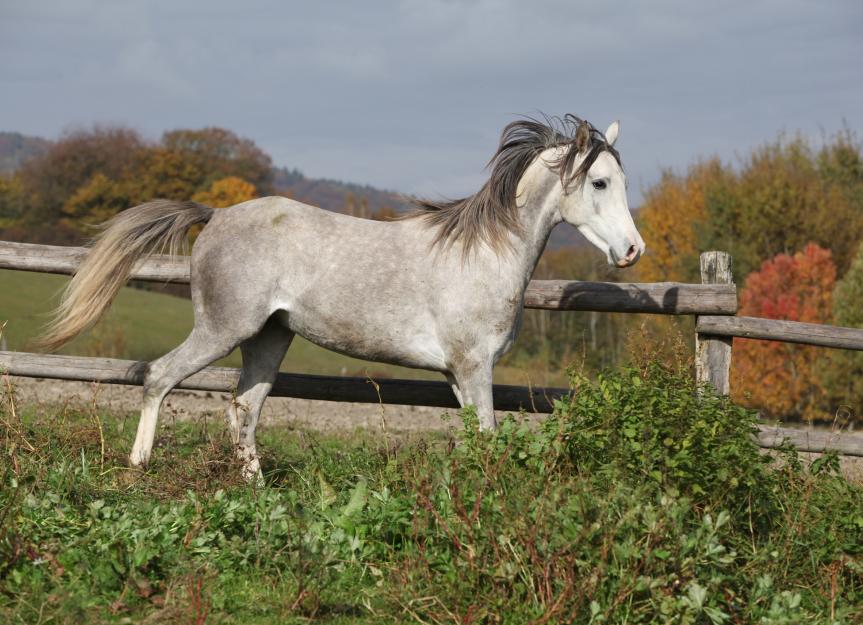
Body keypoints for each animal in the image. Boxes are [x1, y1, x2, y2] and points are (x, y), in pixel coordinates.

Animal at [36, 114, 644, 478]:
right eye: (599, 183)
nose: (632, 250)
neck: (484, 255)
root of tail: (215, 215)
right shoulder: (474, 367)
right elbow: (489, 435)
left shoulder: (457, 374)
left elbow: (478, 436)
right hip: (222, 329)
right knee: (159, 377)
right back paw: (138, 465)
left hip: (268, 339)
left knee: (243, 408)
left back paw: (256, 491)